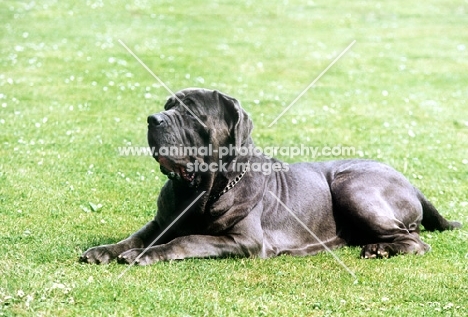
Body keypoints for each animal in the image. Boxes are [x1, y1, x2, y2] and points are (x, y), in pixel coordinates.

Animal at [79, 87, 460, 262]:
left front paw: (142, 256)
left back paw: (380, 249)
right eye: (168, 105)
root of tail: (409, 181)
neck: (201, 192)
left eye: (189, 111)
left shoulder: (243, 240)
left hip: (351, 186)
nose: (153, 119)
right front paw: (106, 250)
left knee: (416, 240)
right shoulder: (160, 222)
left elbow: (187, 240)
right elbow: (136, 236)